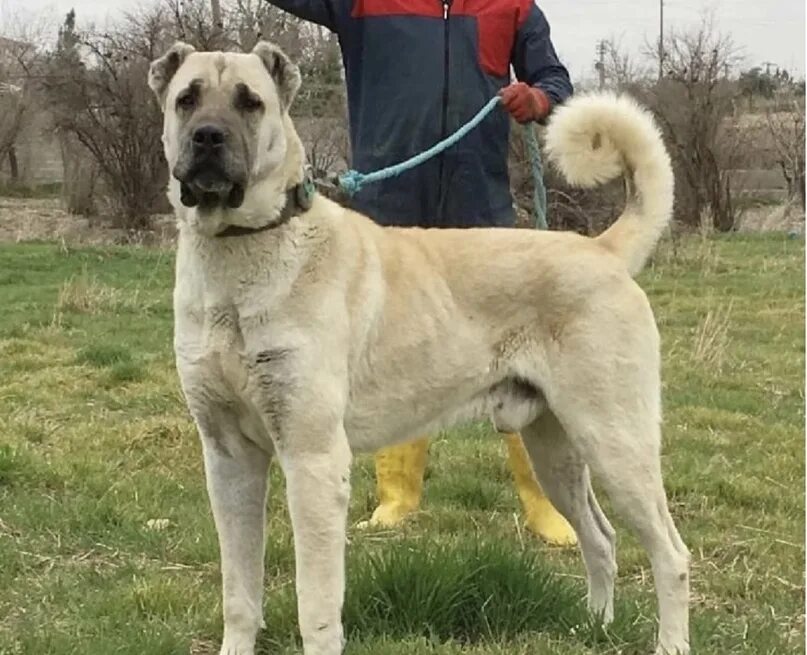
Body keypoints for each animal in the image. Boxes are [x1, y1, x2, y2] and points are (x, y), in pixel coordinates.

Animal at [148, 41, 692, 655]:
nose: (208, 137)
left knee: (670, 554)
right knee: (601, 537)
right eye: (187, 99)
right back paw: (594, 626)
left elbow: (316, 604)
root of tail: (602, 251)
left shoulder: (313, 460)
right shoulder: (228, 459)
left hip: (616, 443)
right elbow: (240, 592)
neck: (240, 252)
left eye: (250, 102)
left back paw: (670, 642)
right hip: (555, 448)